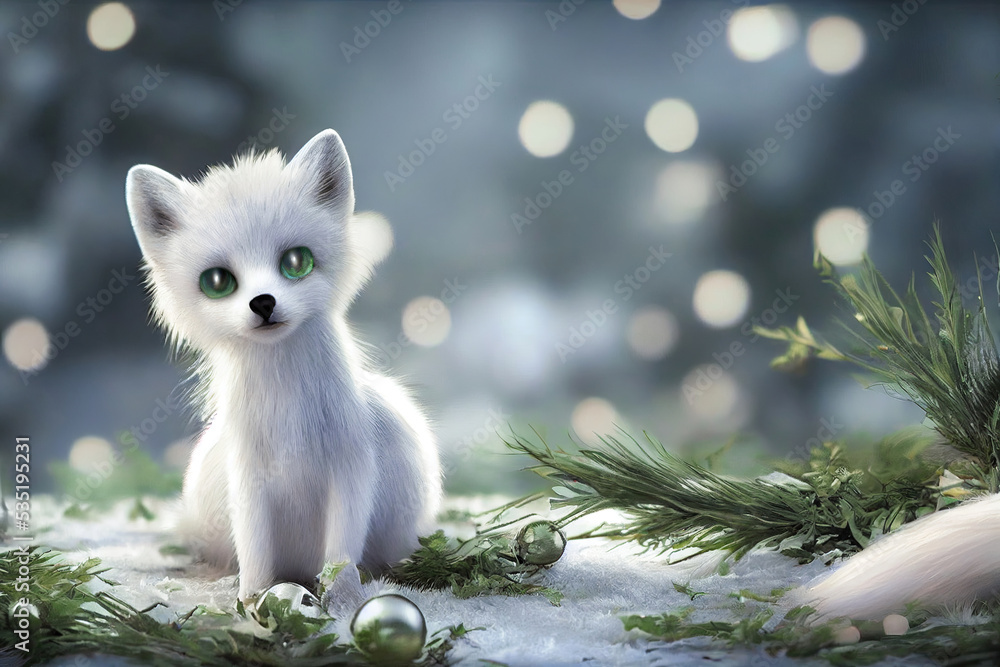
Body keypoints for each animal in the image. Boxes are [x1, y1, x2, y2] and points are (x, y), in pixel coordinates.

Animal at [125, 129, 442, 601]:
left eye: (296, 262)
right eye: (217, 282)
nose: (263, 303)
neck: (287, 406)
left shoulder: (352, 474)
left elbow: (340, 559)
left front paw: (342, 605)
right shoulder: (249, 483)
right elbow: (256, 557)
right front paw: (251, 605)